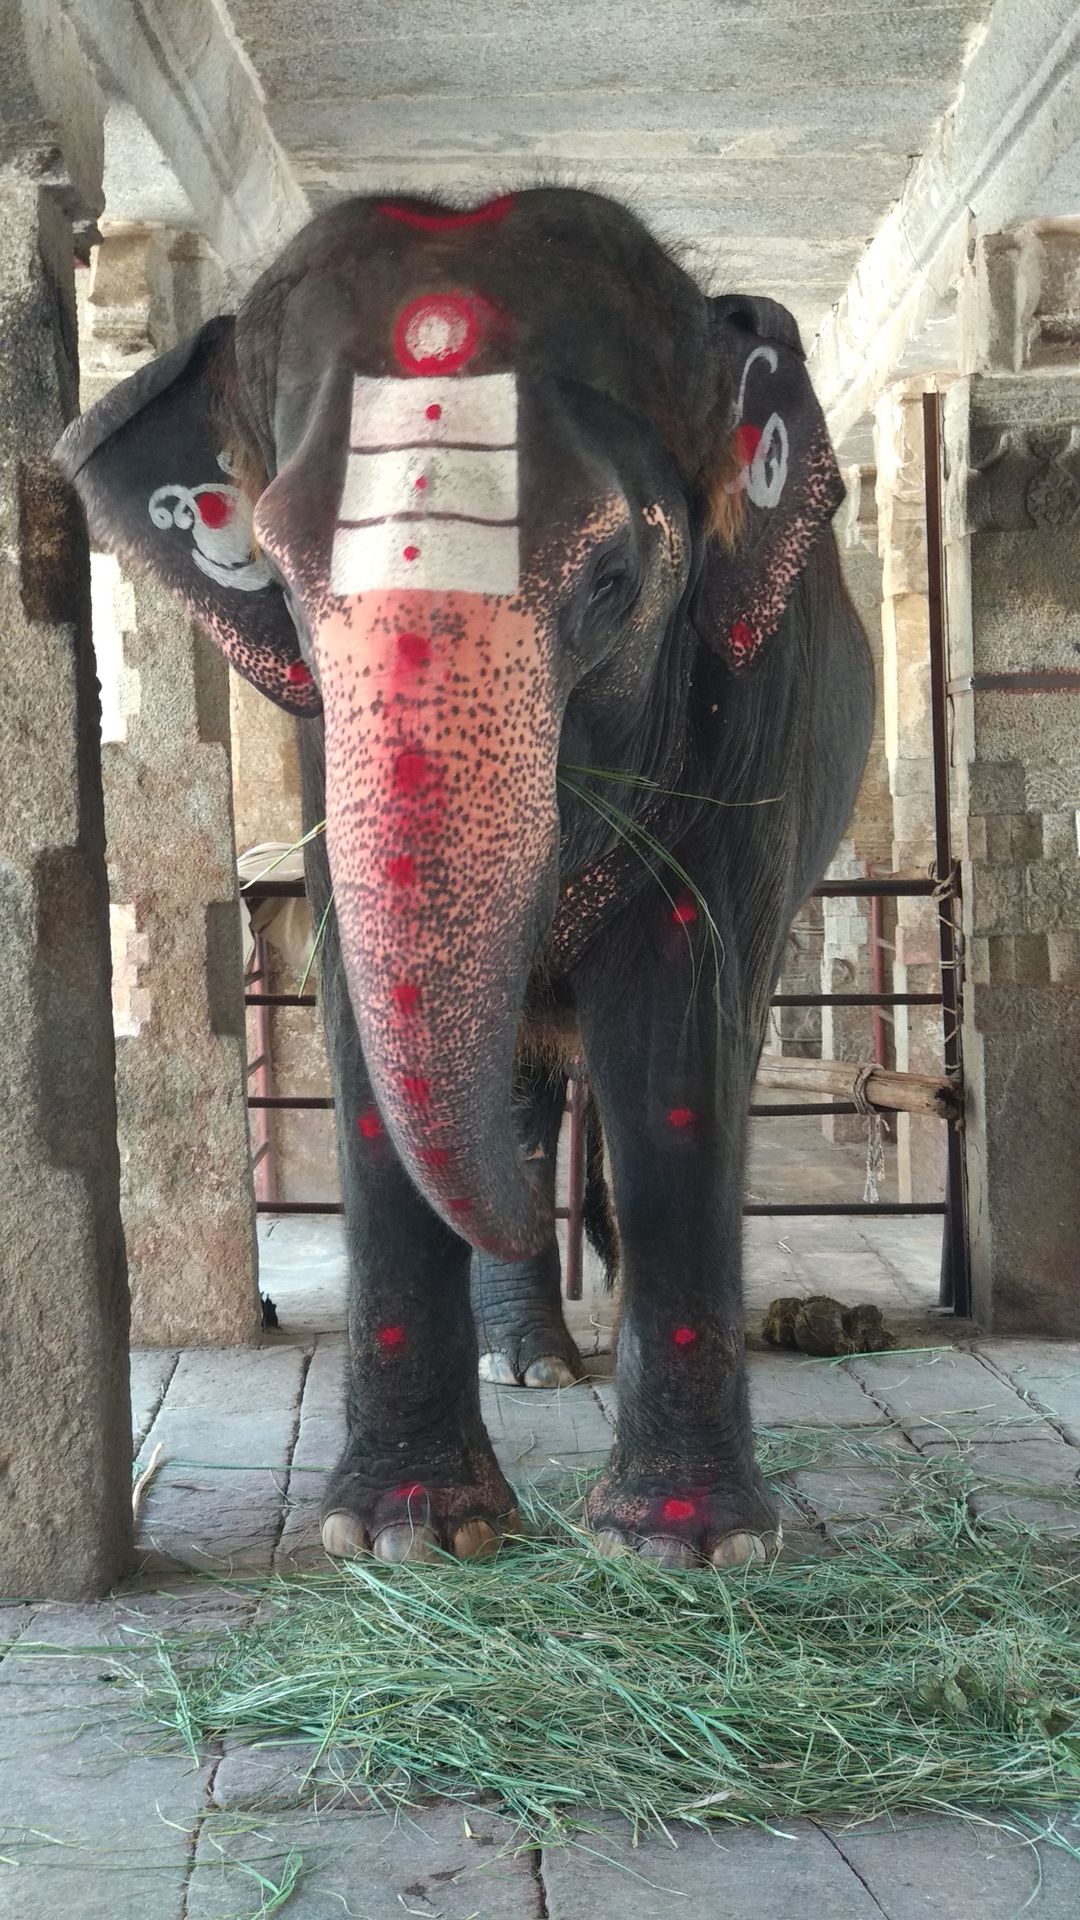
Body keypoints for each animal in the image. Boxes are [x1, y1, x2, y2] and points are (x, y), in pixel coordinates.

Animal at [54, 187, 868, 1566]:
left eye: (613, 582)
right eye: (279, 580)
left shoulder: (754, 719)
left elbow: (679, 1042)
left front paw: (683, 1546)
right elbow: (360, 1036)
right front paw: (405, 1536)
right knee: (525, 1091)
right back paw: (528, 1357)